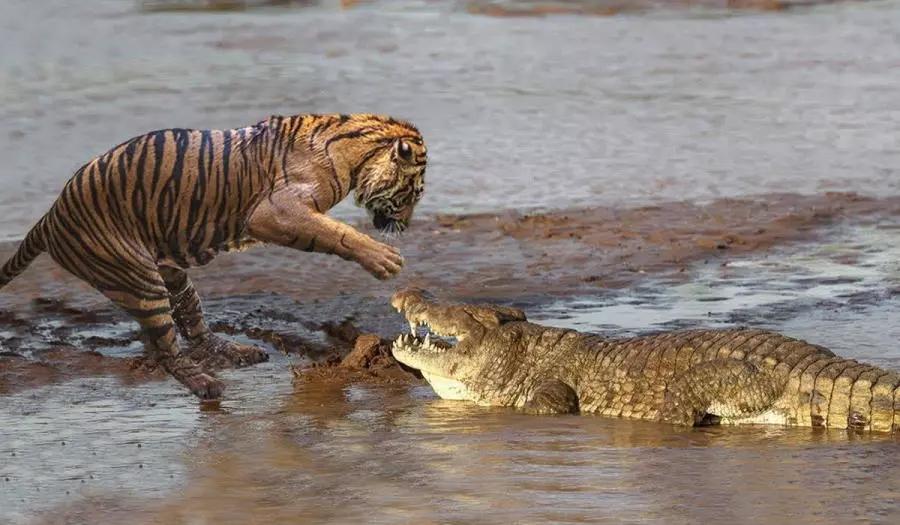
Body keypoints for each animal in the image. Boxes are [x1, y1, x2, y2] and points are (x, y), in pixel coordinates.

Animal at [0, 113, 428, 398]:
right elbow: (335, 233)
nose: (404, 226)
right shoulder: (273, 212)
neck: (356, 152)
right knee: (167, 351)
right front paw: (384, 259)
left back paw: (237, 352)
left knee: (194, 325)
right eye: (411, 194)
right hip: (139, 281)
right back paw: (205, 385)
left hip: (171, 275)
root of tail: (49, 217)